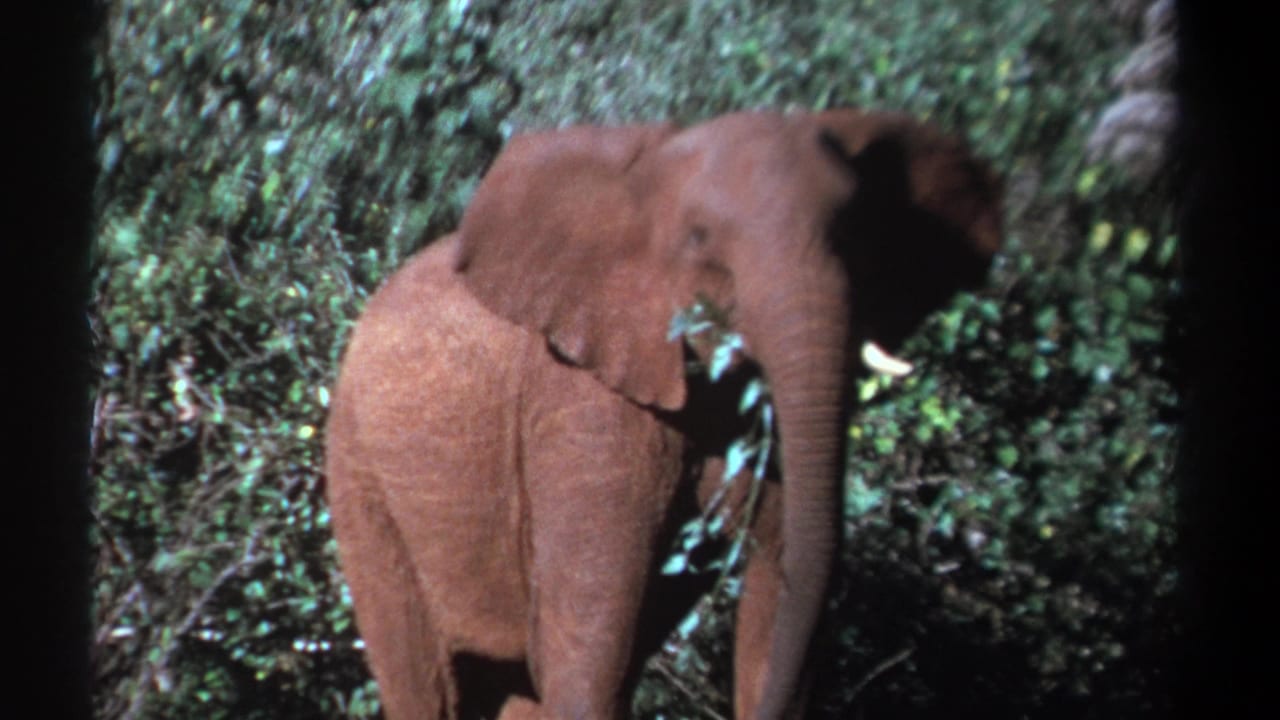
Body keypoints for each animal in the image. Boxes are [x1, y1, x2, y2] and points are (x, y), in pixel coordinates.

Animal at [325, 108, 1002, 720]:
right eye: (700, 241)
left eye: (857, 240)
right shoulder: (584, 398)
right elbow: (592, 645)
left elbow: (778, 584)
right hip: (361, 481)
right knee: (427, 680)